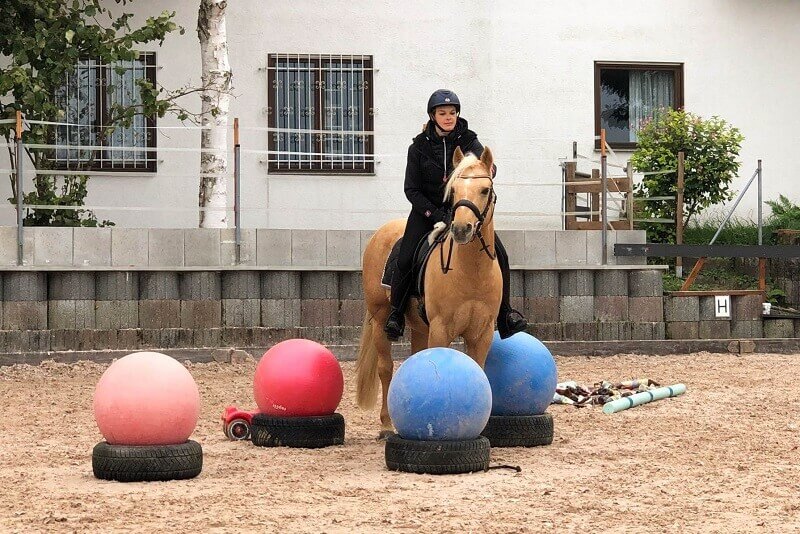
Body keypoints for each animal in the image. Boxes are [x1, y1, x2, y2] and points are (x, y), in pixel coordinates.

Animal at [356, 147, 500, 440]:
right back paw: (386, 426)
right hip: (380, 318)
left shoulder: (482, 332)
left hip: (420, 326)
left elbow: (478, 370)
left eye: (484, 189)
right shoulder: (441, 328)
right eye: (453, 190)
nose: (461, 229)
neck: (471, 272)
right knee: (386, 368)